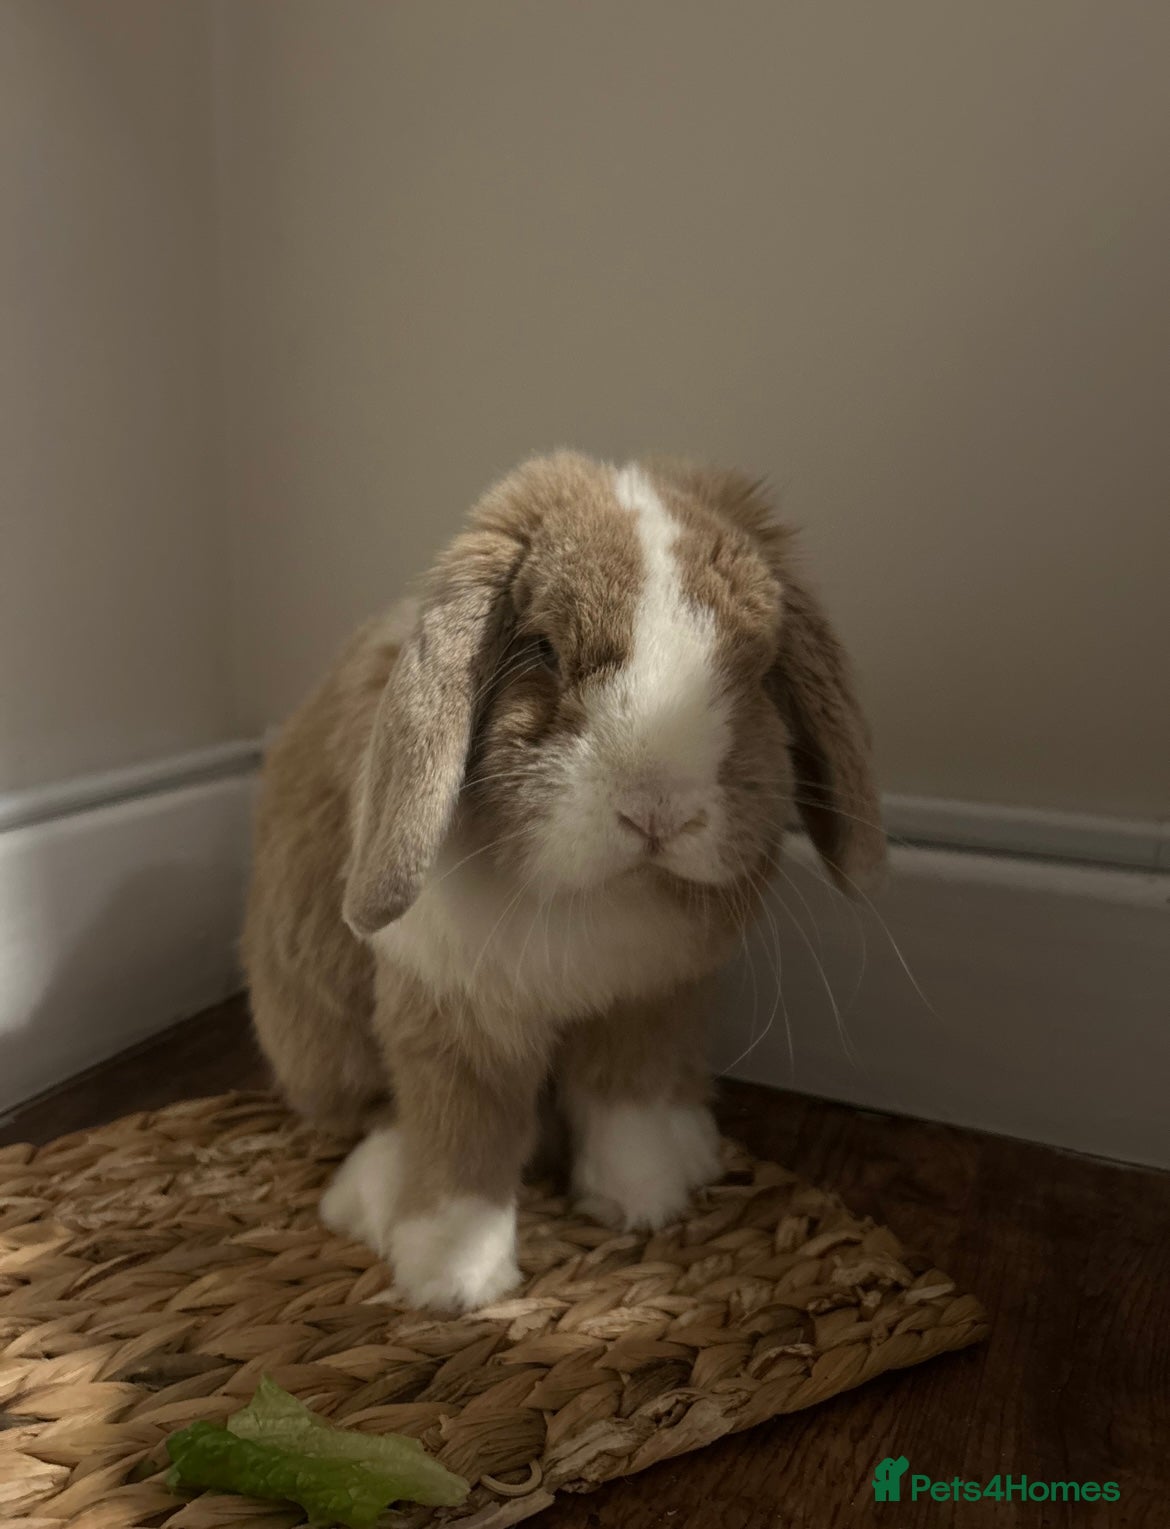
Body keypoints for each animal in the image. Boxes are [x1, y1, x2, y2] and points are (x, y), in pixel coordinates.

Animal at [242, 451, 884, 1312]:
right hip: (315, 1035)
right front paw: (453, 1282)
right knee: (379, 1113)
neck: (591, 898)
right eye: (543, 649)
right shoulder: (451, 1018)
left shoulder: (644, 1002)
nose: (658, 810)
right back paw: (368, 1196)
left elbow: (625, 1102)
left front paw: (640, 1200)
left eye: (754, 663)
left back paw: (691, 1147)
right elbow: (465, 1135)